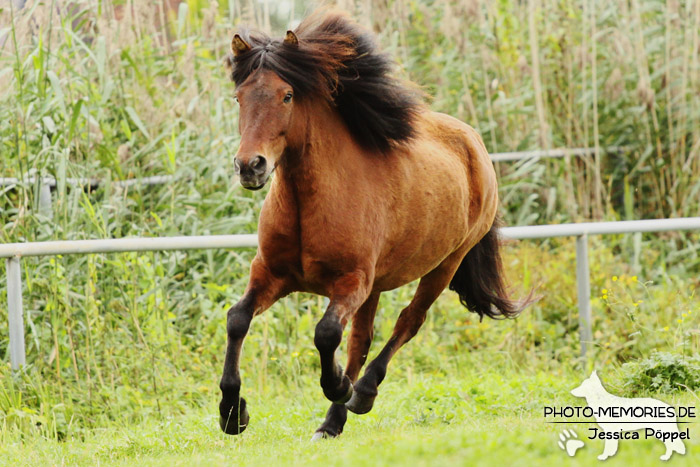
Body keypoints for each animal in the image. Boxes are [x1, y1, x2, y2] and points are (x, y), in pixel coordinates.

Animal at [221, 12, 528, 440]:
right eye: (240, 97)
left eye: (287, 95)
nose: (250, 166)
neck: (308, 205)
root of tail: (474, 143)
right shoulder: (271, 273)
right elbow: (237, 319)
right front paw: (232, 412)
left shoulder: (351, 281)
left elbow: (326, 333)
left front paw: (338, 385)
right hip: (378, 284)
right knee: (361, 339)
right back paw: (332, 422)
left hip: (444, 264)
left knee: (408, 322)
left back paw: (360, 394)